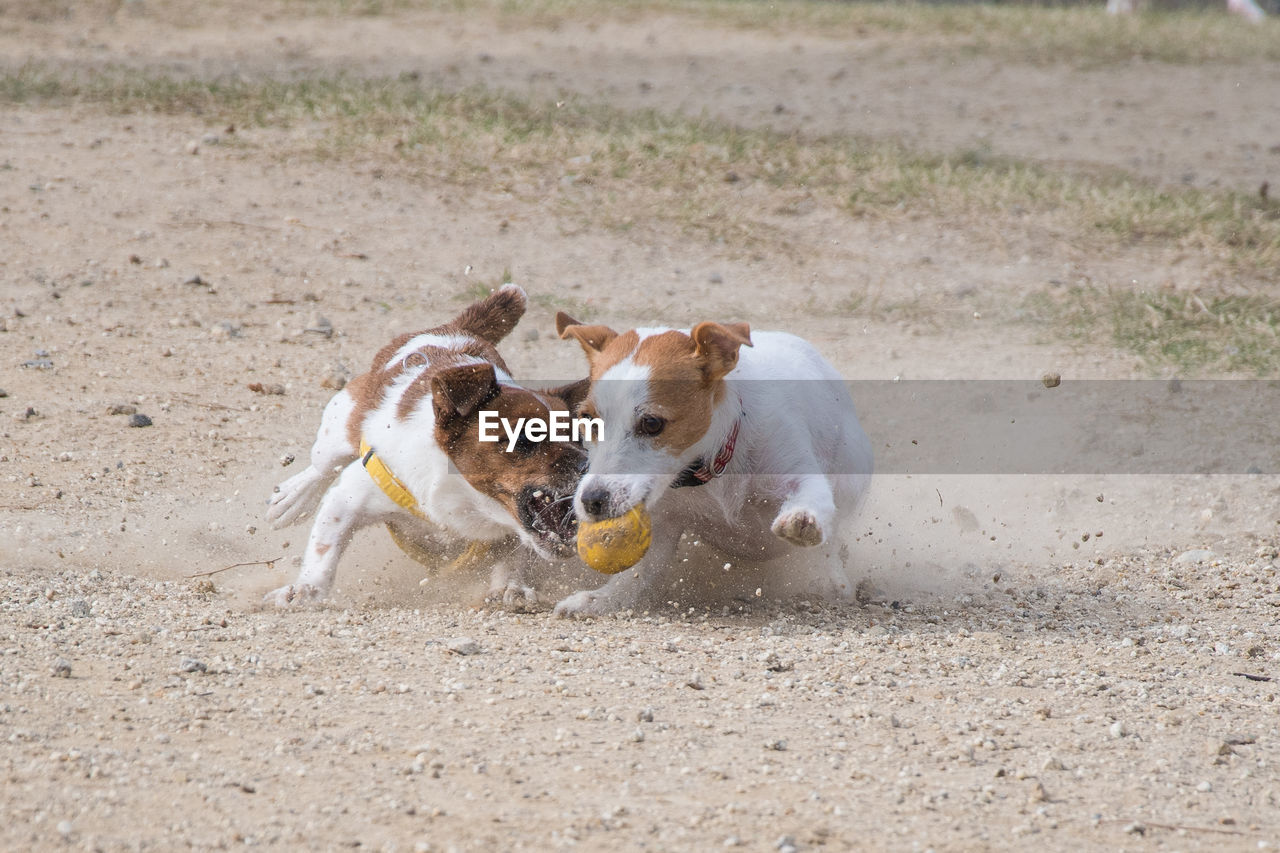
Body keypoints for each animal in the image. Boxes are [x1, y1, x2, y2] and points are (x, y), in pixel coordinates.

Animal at [270, 285, 588, 604]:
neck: (470, 499)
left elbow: (513, 555)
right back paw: (292, 497)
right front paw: (305, 591)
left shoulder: (511, 531)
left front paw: (511, 588)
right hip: (340, 424)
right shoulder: (350, 498)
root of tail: (456, 329)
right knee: (322, 466)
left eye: (579, 438)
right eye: (524, 438)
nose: (587, 465)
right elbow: (325, 550)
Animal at [555, 308, 875, 614]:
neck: (711, 466)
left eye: (652, 423)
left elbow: (812, 499)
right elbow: (638, 575)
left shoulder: (797, 470)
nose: (592, 501)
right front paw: (600, 599)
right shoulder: (662, 520)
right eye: (587, 418)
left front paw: (802, 519)